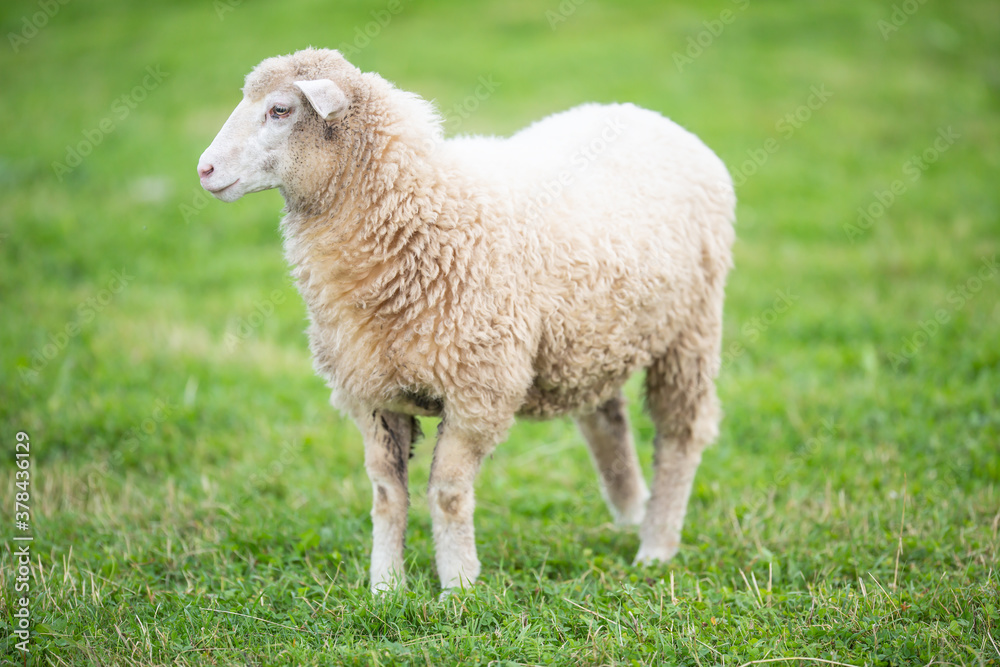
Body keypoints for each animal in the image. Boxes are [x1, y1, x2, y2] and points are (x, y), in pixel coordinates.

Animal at [199, 48, 740, 596]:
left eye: (280, 110)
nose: (204, 169)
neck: (423, 212)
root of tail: (645, 114)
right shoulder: (370, 391)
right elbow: (386, 493)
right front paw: (385, 586)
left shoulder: (478, 389)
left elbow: (448, 492)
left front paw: (458, 585)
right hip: (592, 336)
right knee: (605, 418)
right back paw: (630, 513)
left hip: (691, 329)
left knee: (680, 436)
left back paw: (656, 544)